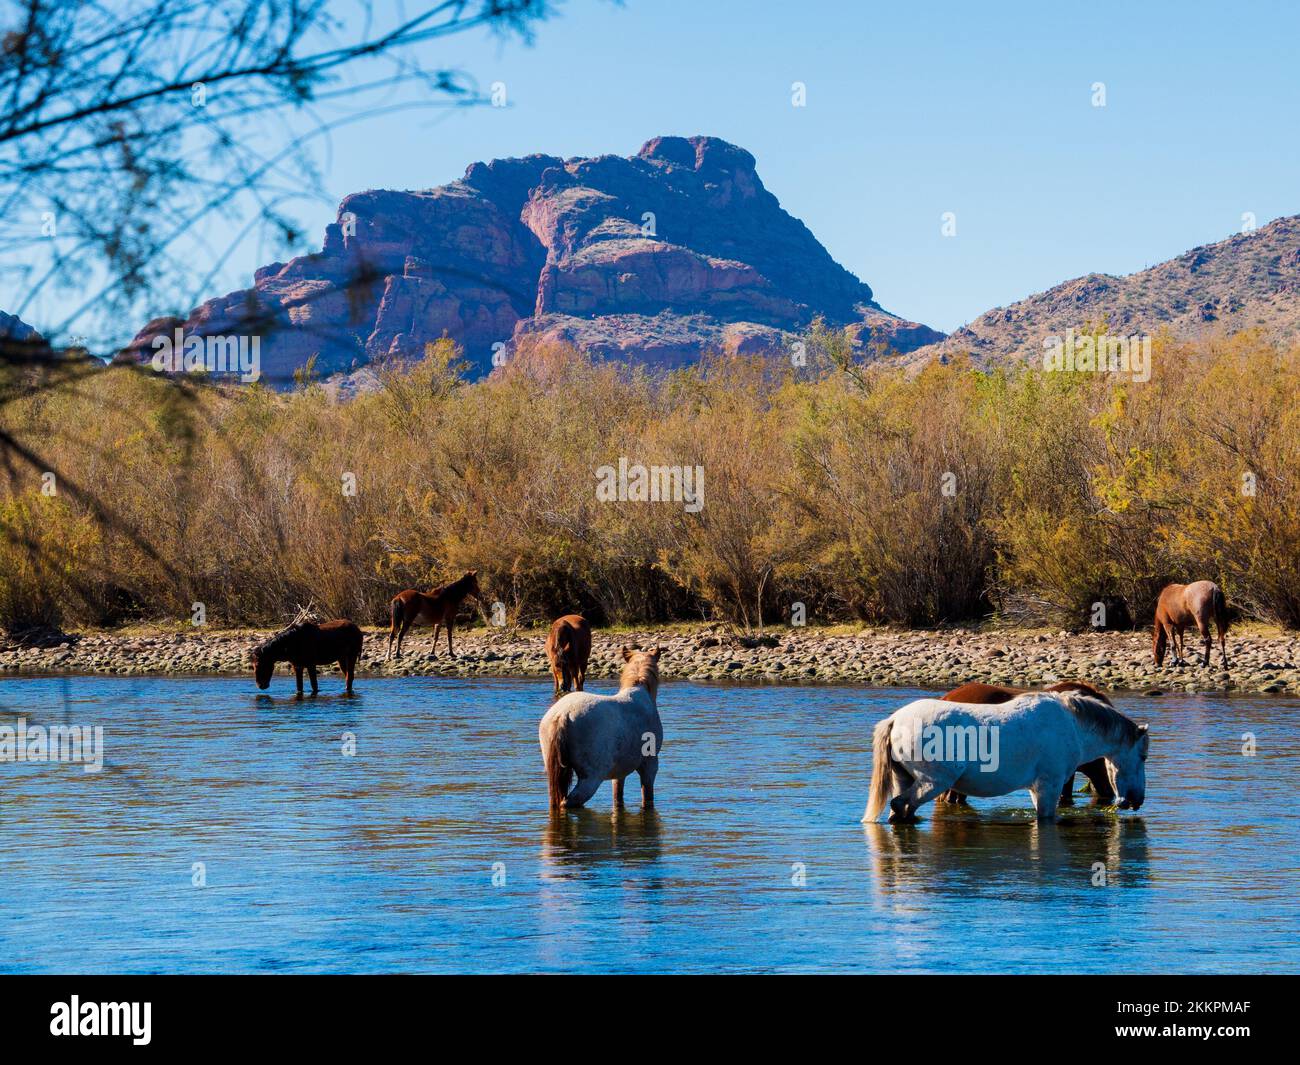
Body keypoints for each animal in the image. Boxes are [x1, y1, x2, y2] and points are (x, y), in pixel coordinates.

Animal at [538, 644, 665, 811]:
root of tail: (563, 715)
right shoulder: (649, 765)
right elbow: (647, 797)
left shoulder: (619, 773)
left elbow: (618, 798)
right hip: (591, 779)